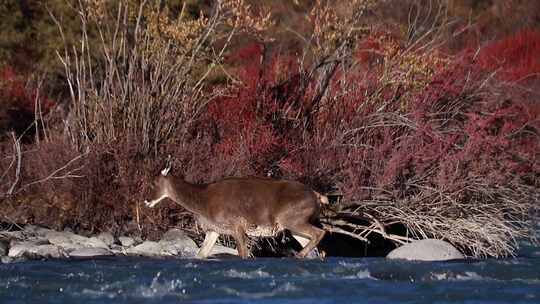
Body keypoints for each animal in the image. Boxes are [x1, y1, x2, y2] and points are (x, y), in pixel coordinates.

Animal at [143, 164, 326, 258]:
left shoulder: (236, 225)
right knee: (318, 248)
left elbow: (243, 254)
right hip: (294, 225)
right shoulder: (214, 230)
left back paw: (298, 255)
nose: (146, 200)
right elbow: (200, 254)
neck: (202, 203)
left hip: (292, 219)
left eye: (153, 183)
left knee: (320, 233)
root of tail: (318, 196)